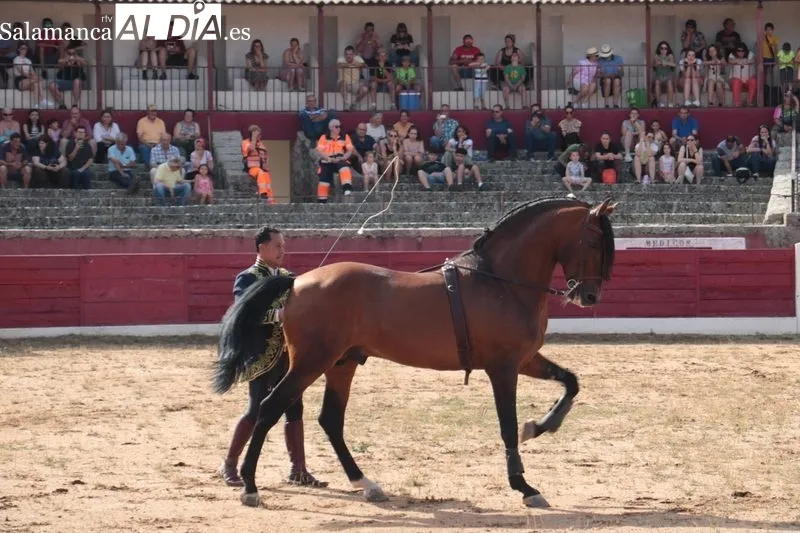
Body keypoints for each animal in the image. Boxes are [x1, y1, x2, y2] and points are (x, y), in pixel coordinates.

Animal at [212, 196, 617, 509]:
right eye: (594, 242)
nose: (589, 296)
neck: (500, 282)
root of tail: (296, 281)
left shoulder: (526, 361)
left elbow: (571, 383)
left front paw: (541, 426)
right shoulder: (502, 368)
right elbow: (506, 426)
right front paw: (524, 486)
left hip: (341, 364)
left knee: (329, 420)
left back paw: (365, 484)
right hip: (310, 363)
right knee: (269, 409)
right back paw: (249, 486)